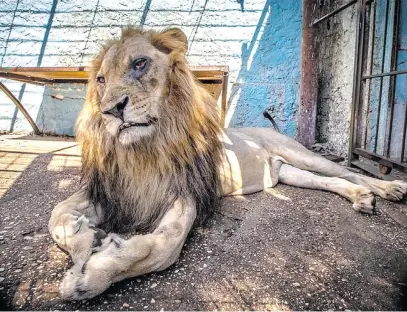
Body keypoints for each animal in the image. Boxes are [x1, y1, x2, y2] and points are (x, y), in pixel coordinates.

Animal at [48, 28, 407, 302]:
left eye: (139, 63)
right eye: (100, 79)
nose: (110, 111)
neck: (143, 150)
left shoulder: (185, 192)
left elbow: (164, 246)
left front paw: (93, 273)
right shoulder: (111, 190)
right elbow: (57, 217)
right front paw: (87, 242)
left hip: (301, 154)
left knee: (349, 171)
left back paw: (389, 188)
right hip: (289, 174)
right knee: (330, 182)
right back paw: (362, 199)